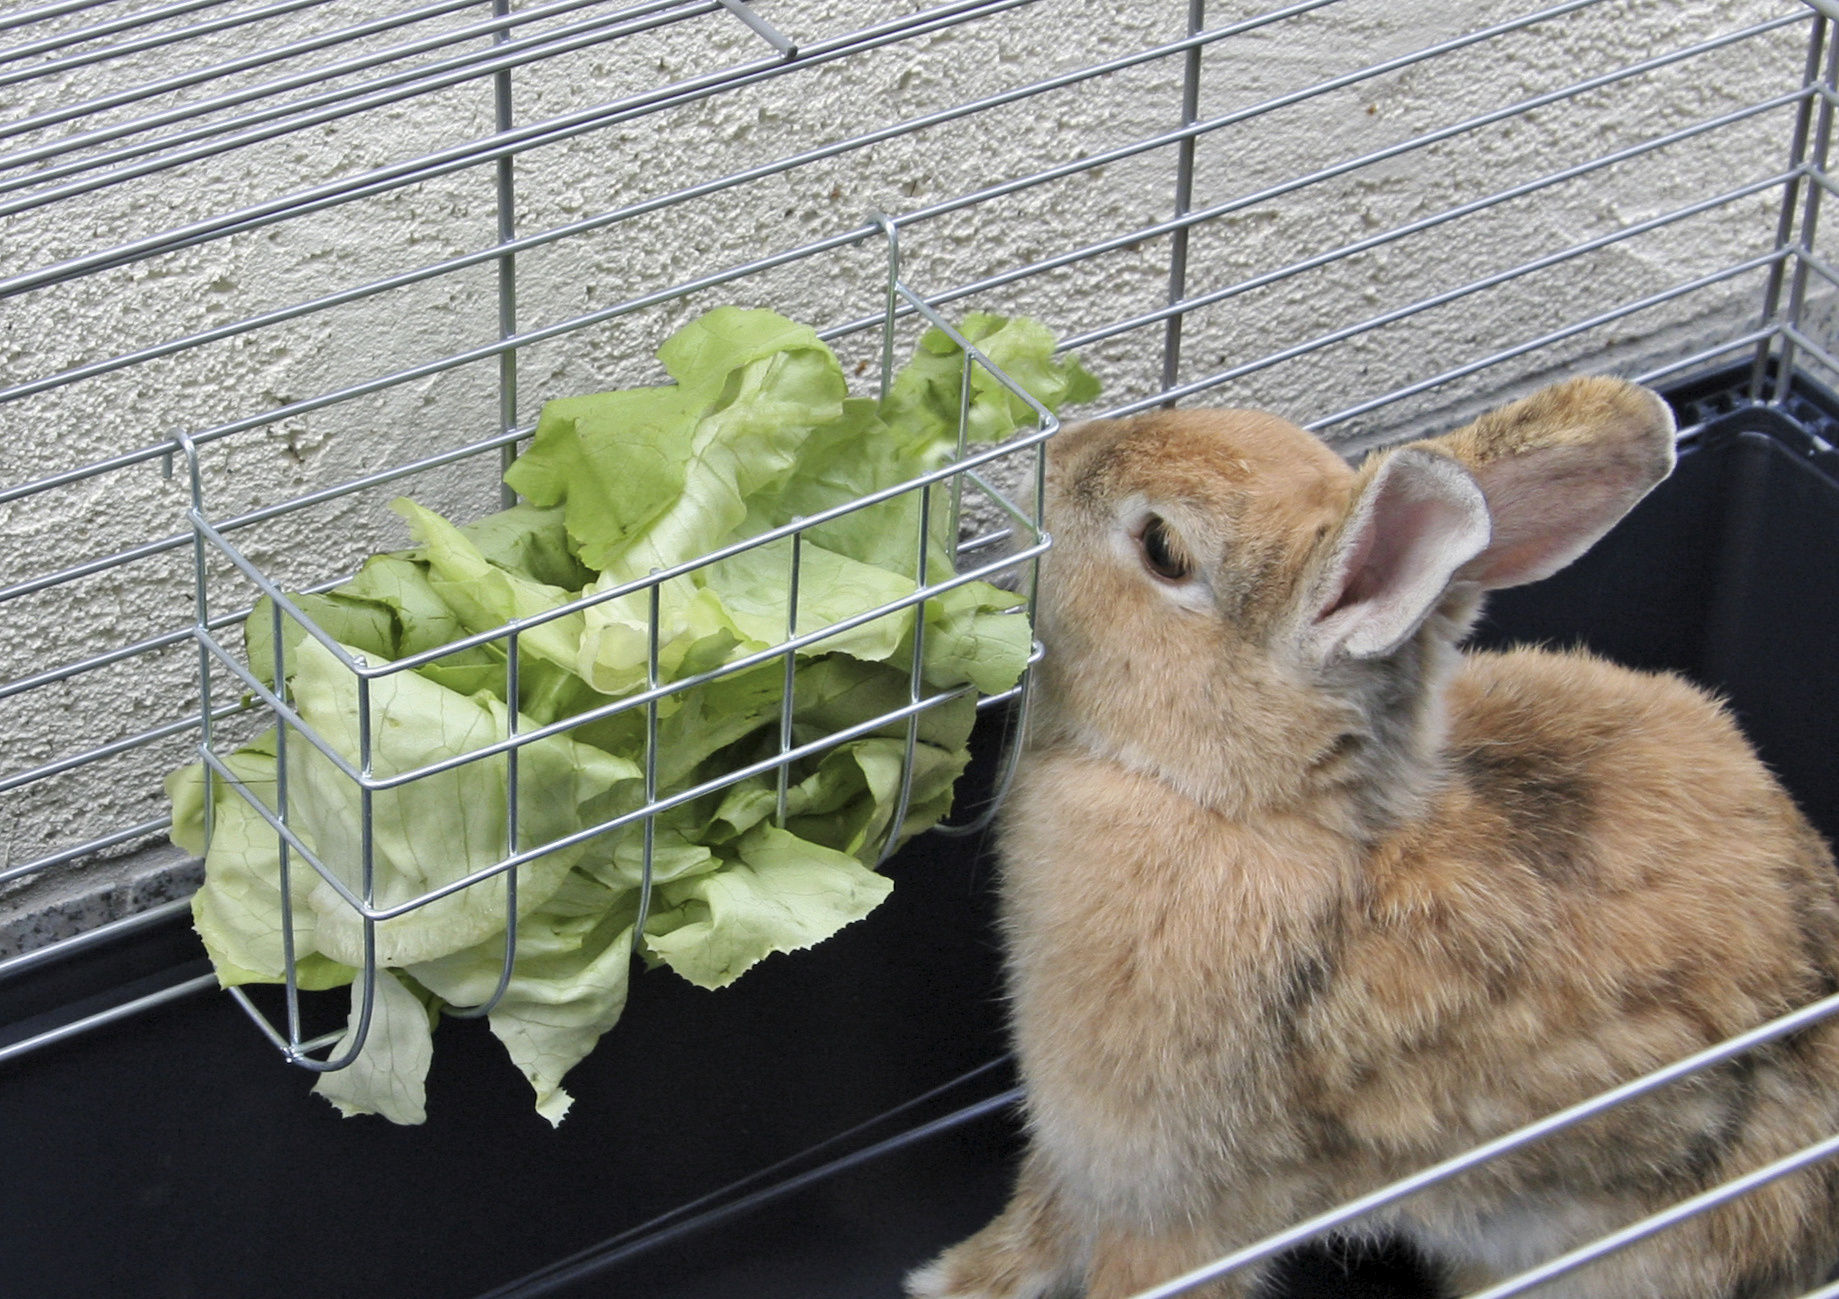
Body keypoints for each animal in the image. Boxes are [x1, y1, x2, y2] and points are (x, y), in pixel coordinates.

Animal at [907, 377, 1839, 1299]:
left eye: (1162, 548)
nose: (1056, 454)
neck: (1244, 802)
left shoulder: (1180, 1202)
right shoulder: (1076, 1153)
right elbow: (1034, 1223)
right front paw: (946, 1280)